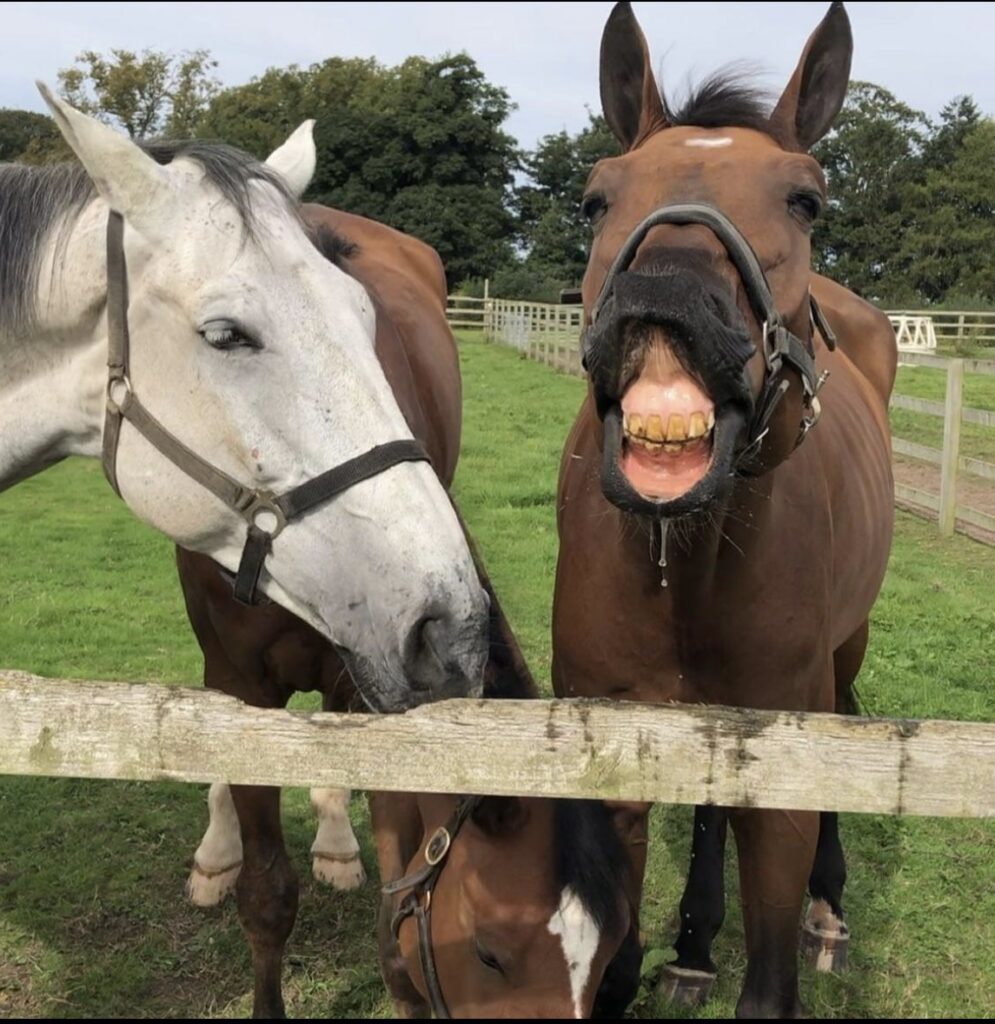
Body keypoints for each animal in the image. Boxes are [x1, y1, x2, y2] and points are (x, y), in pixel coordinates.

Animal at [556, 4, 896, 1019]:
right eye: (595, 199)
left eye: (804, 200)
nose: (662, 297)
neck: (687, 564)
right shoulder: (610, 756)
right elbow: (610, 968)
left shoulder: (783, 752)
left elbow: (770, 980)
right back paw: (696, 940)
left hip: (844, 650)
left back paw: (827, 907)